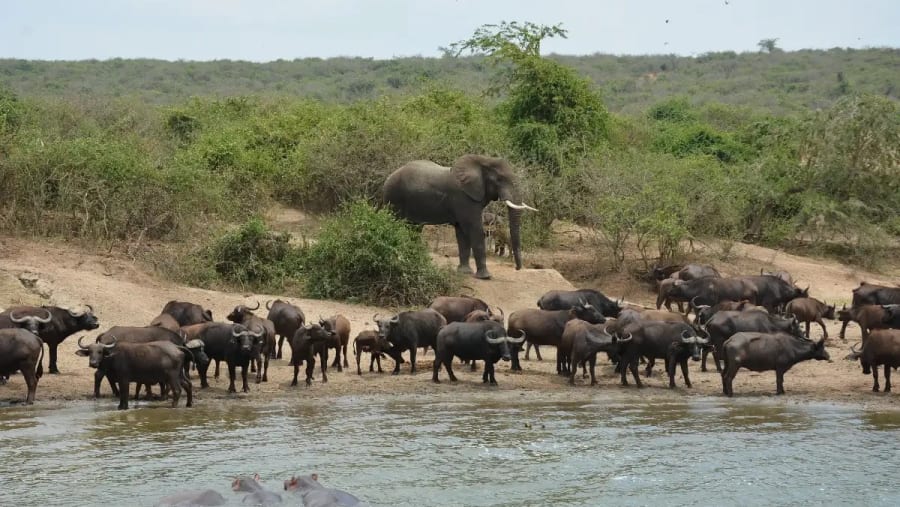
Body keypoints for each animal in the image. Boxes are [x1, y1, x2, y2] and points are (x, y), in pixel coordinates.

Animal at [383, 154, 537, 279]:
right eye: (499, 179)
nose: (517, 268)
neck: (483, 161)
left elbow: (462, 234)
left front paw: (464, 272)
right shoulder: (464, 199)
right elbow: (474, 229)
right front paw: (485, 277)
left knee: (414, 229)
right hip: (393, 196)